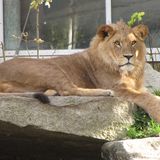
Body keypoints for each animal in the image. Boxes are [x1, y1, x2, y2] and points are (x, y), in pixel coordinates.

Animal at [0, 20, 160, 122]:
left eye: (133, 42)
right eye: (117, 43)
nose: (128, 56)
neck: (130, 73)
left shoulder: (138, 86)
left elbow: (148, 93)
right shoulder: (120, 88)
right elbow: (145, 97)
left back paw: (51, 91)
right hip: (51, 68)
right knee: (69, 90)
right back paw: (105, 92)